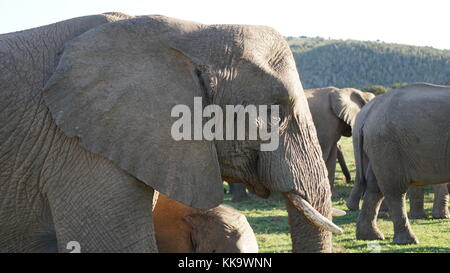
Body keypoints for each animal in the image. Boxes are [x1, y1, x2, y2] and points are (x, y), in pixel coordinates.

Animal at [346, 83, 448, 244]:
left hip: (379, 145)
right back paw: (408, 241)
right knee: (394, 189)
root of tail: (369, 111)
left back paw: (370, 236)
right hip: (388, 145)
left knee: (374, 187)